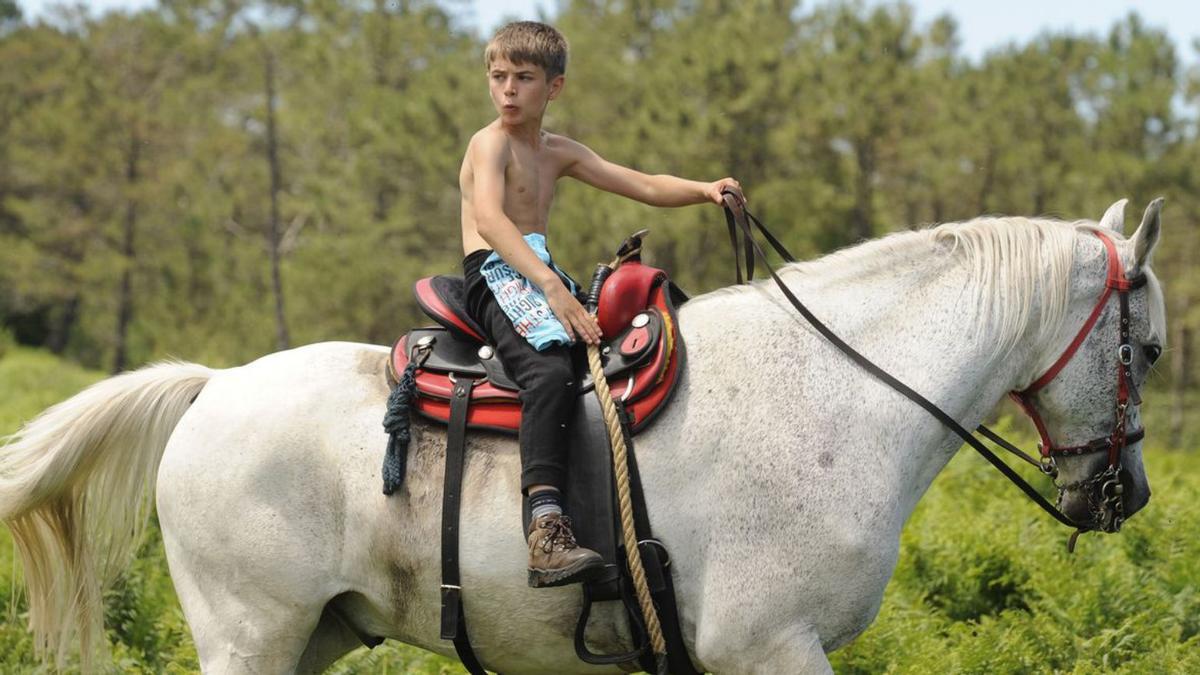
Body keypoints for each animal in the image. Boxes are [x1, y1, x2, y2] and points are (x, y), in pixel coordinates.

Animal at [0, 196, 1161, 667]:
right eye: (1146, 350)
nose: (1128, 496)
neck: (838, 392)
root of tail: (211, 389)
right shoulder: (771, 648)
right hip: (250, 637)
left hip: (311, 636)